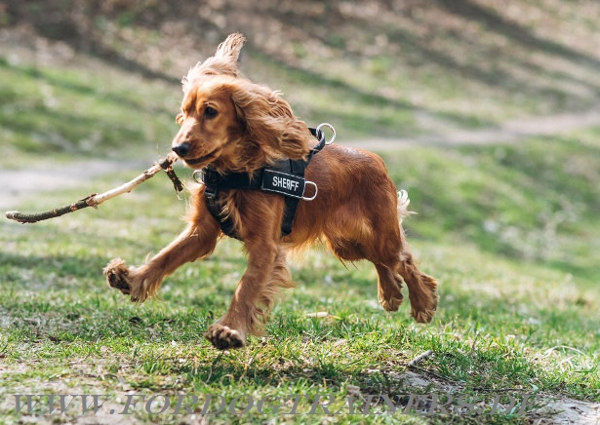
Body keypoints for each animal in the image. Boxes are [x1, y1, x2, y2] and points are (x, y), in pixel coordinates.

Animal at [105, 33, 438, 350]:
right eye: (183, 113)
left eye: (210, 111)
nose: (178, 148)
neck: (233, 172)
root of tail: (376, 160)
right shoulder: (202, 232)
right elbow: (166, 256)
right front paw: (132, 278)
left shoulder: (265, 245)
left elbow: (247, 286)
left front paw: (229, 330)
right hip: (346, 241)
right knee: (383, 261)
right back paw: (391, 294)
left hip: (377, 234)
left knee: (403, 259)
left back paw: (423, 303)